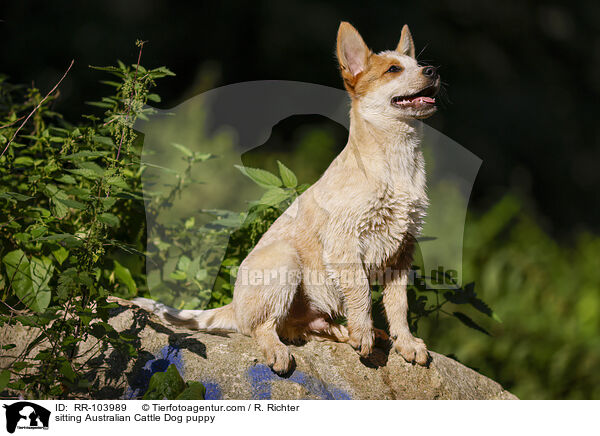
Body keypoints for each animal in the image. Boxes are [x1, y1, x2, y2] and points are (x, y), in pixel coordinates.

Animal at [135, 21, 440, 374]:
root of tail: (233, 306)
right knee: (263, 327)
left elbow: (398, 305)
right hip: (285, 259)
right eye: (393, 69)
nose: (433, 70)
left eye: (417, 64)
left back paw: (345, 331)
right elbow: (362, 293)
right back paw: (283, 349)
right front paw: (364, 333)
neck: (397, 160)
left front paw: (405, 342)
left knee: (301, 327)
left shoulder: (402, 252)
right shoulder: (346, 243)